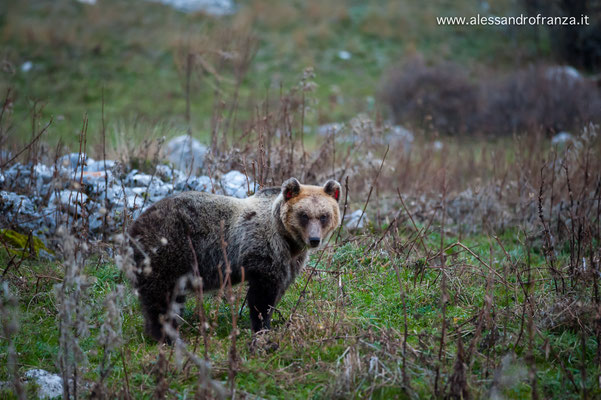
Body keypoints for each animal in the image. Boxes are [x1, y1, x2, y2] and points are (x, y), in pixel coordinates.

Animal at [128, 177, 340, 342]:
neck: (287, 239)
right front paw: (262, 328)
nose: (314, 239)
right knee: (162, 297)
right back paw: (167, 336)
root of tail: (134, 226)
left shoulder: (290, 262)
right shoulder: (263, 252)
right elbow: (261, 297)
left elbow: (277, 291)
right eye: (304, 215)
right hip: (169, 250)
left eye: (324, 216)